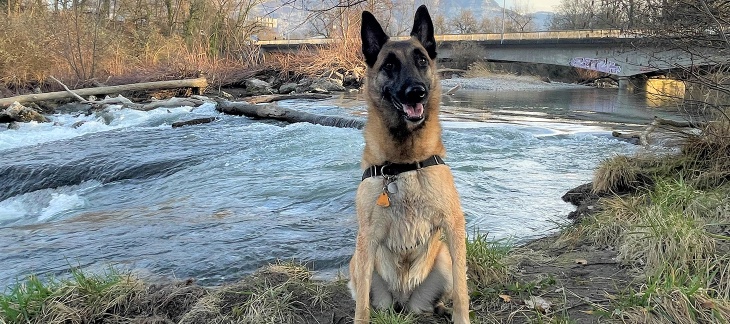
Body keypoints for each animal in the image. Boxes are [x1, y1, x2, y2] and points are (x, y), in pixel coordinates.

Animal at [348, 5, 472, 324]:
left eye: (421, 60)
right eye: (389, 65)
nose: (416, 92)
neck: (403, 164)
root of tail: (403, 301)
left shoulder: (453, 226)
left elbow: (463, 291)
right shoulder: (367, 237)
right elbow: (361, 306)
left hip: (442, 258)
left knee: (441, 297)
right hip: (358, 261)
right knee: (369, 298)